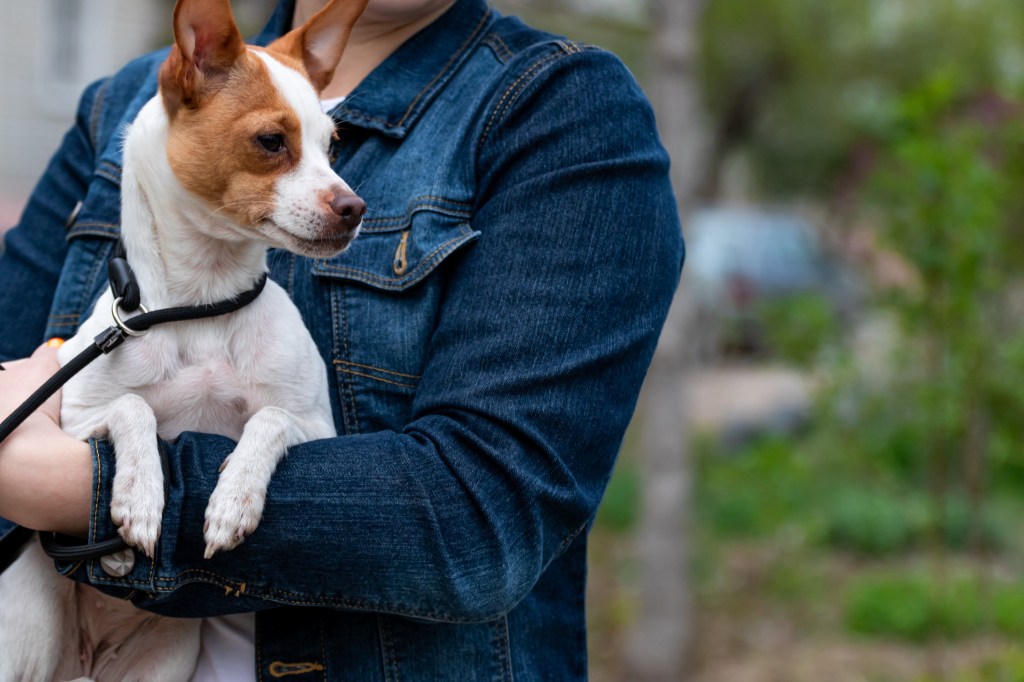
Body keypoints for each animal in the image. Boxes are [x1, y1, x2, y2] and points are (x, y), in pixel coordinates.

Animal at [0, 0, 368, 675]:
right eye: (271, 141)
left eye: (333, 146)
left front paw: (232, 500)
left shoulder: (318, 431)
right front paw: (142, 495)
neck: (202, 304)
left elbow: (268, 420)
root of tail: (87, 657)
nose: (355, 208)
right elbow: (133, 406)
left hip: (165, 659)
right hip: (29, 634)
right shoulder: (73, 420)